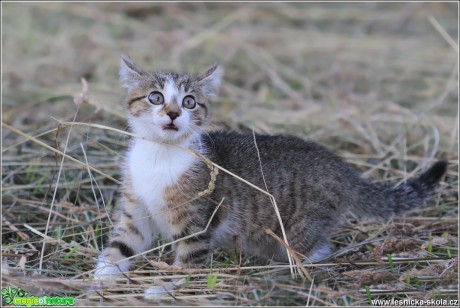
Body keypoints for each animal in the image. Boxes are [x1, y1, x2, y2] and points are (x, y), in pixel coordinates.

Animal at [92, 56, 446, 280]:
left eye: (189, 102)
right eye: (155, 97)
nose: (173, 113)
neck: (159, 156)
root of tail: (341, 167)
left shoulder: (196, 223)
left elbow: (188, 265)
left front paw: (166, 289)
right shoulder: (135, 212)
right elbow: (120, 248)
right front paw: (99, 282)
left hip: (300, 226)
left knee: (314, 249)